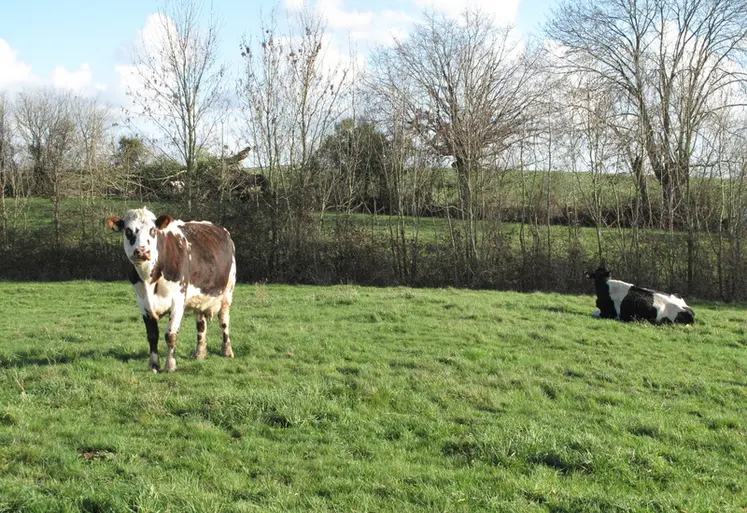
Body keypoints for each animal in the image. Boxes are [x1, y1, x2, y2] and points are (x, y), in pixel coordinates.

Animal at [105, 208, 237, 372]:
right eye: (128, 231)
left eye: (153, 230)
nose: (142, 251)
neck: (150, 278)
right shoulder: (143, 303)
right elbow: (152, 335)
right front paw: (154, 365)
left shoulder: (178, 301)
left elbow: (171, 335)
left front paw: (170, 365)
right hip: (200, 298)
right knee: (201, 324)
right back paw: (199, 353)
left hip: (227, 292)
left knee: (224, 321)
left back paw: (227, 351)